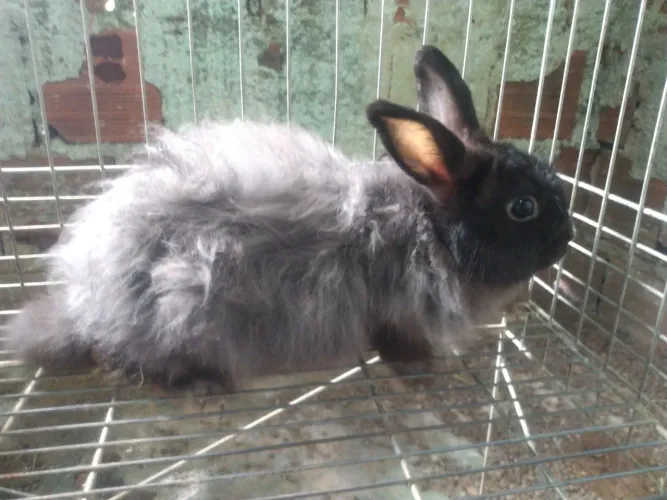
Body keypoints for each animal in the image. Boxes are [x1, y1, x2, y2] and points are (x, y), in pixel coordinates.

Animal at [4, 45, 574, 393]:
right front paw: (423, 371)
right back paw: (203, 383)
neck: (430, 226)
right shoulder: (396, 311)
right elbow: (398, 346)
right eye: (522, 207)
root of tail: (84, 302)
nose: (567, 240)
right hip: (177, 304)